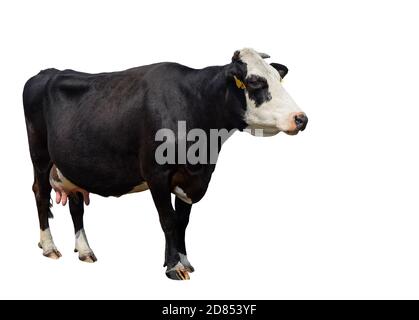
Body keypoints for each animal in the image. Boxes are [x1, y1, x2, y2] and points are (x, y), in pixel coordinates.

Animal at [23, 48, 310, 280]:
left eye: (278, 79)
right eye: (255, 82)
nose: (301, 118)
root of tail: (45, 73)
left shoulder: (192, 177)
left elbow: (182, 222)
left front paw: (183, 260)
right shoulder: (157, 173)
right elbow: (168, 220)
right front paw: (174, 267)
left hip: (71, 166)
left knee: (76, 206)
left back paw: (84, 250)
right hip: (40, 155)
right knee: (40, 194)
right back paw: (49, 247)